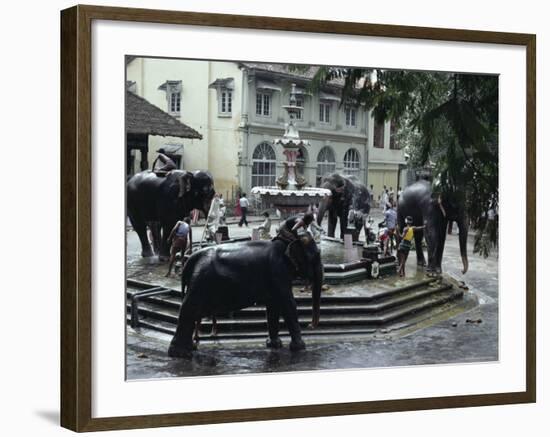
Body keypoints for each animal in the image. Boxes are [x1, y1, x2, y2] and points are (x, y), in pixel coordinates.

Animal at [168, 232, 324, 358]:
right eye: (317, 256)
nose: (310, 325)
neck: (287, 241)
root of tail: (191, 258)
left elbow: (273, 306)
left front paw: (274, 345)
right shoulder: (278, 272)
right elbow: (288, 303)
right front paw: (300, 348)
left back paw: (190, 349)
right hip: (201, 280)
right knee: (189, 309)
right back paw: (182, 354)